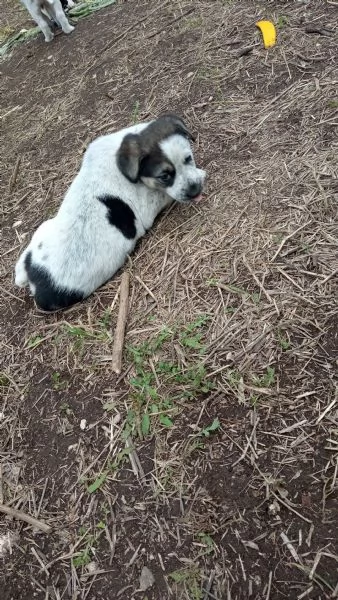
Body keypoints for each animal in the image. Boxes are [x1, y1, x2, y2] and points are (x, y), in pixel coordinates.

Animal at [14, 113, 206, 314]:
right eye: (165, 176)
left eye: (188, 158)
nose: (195, 190)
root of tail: (39, 281)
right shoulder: (149, 207)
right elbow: (167, 194)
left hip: (43, 229)